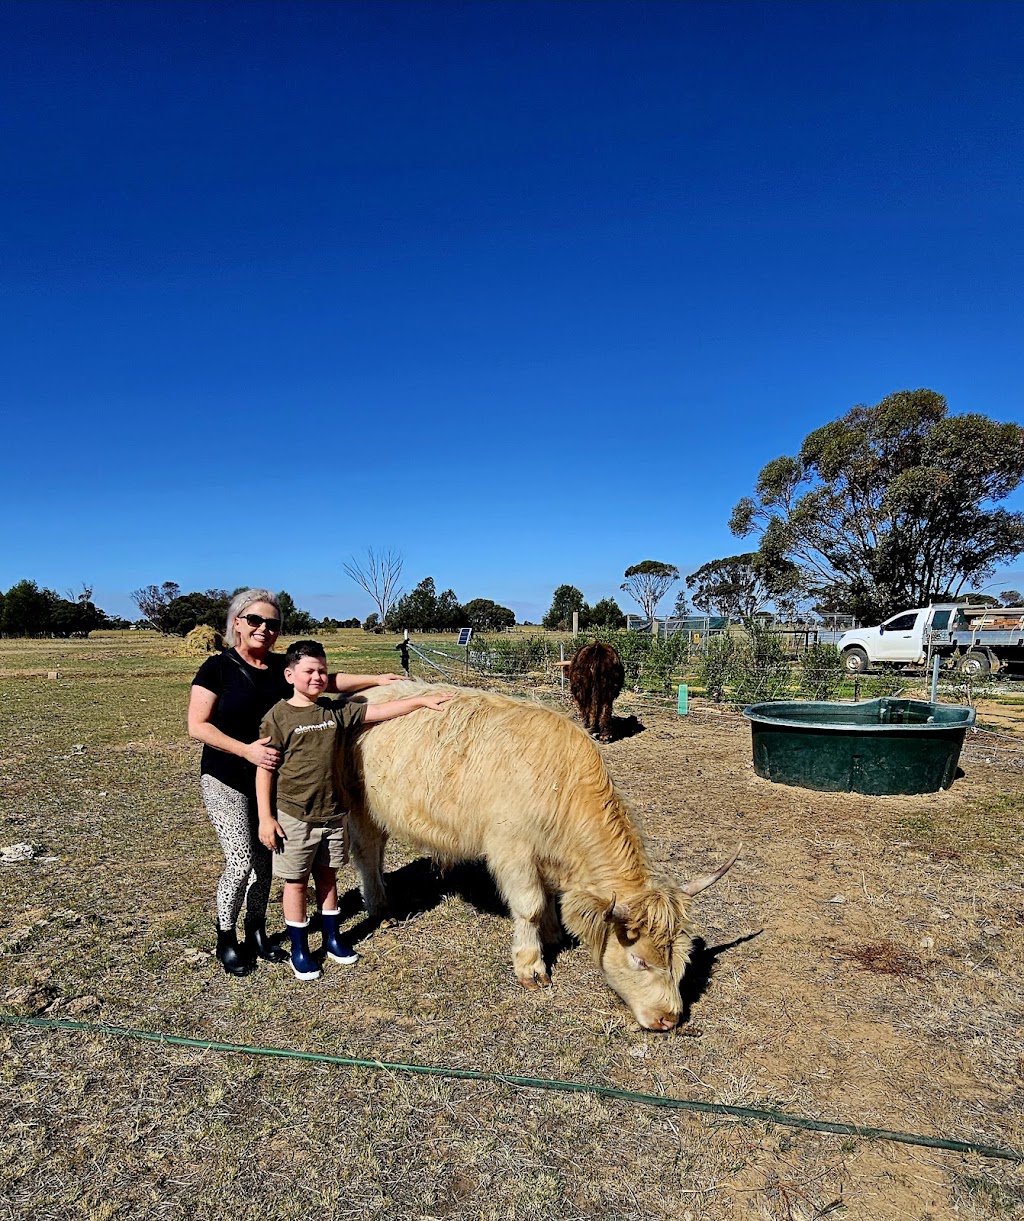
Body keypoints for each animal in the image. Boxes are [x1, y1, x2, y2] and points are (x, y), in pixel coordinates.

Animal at [344, 683, 737, 1025]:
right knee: (367, 852)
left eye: (682, 959)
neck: (561, 786)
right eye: (638, 960)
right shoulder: (512, 850)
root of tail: (368, 692)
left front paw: (553, 933)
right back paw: (380, 908)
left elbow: (548, 898)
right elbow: (529, 905)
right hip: (360, 805)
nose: (668, 1018)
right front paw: (531, 966)